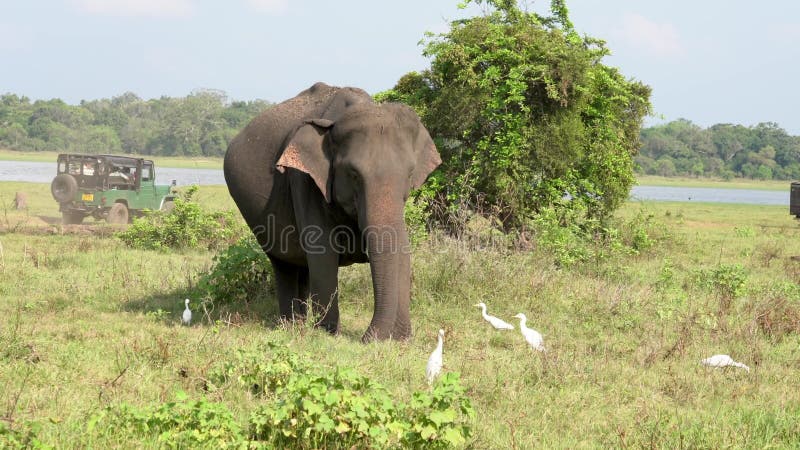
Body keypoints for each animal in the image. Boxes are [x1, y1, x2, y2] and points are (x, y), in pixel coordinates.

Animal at [222, 81, 440, 342]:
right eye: (353, 174)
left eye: (409, 174)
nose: (368, 338)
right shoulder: (304, 181)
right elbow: (322, 252)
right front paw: (327, 333)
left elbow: (401, 249)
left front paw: (400, 340)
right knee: (284, 264)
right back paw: (291, 326)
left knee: (302, 267)